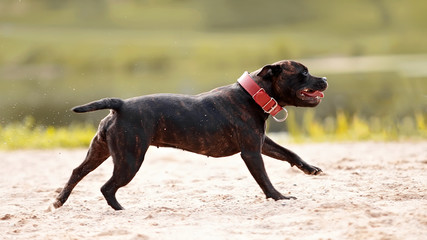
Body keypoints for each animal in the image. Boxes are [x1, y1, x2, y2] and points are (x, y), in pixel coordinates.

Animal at [52, 60, 328, 210]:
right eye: (303, 73)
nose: (324, 77)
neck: (253, 94)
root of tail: (120, 105)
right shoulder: (251, 152)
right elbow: (264, 180)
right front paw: (279, 197)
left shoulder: (261, 143)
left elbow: (288, 152)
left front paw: (310, 168)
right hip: (130, 160)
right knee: (107, 187)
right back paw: (120, 209)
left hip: (100, 152)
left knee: (77, 172)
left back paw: (59, 201)